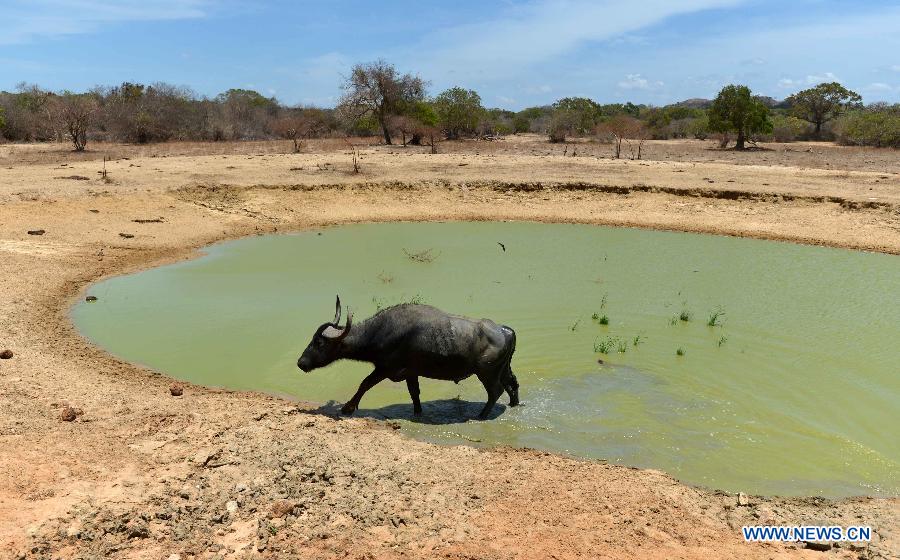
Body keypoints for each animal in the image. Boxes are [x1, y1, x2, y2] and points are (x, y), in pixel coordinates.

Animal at [298, 298, 520, 420]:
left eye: (319, 342)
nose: (301, 363)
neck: (380, 332)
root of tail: (504, 330)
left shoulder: (384, 369)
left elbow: (364, 384)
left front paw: (347, 408)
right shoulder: (411, 373)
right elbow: (414, 393)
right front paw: (417, 412)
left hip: (487, 373)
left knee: (496, 391)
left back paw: (480, 416)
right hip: (504, 369)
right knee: (512, 385)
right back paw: (514, 404)